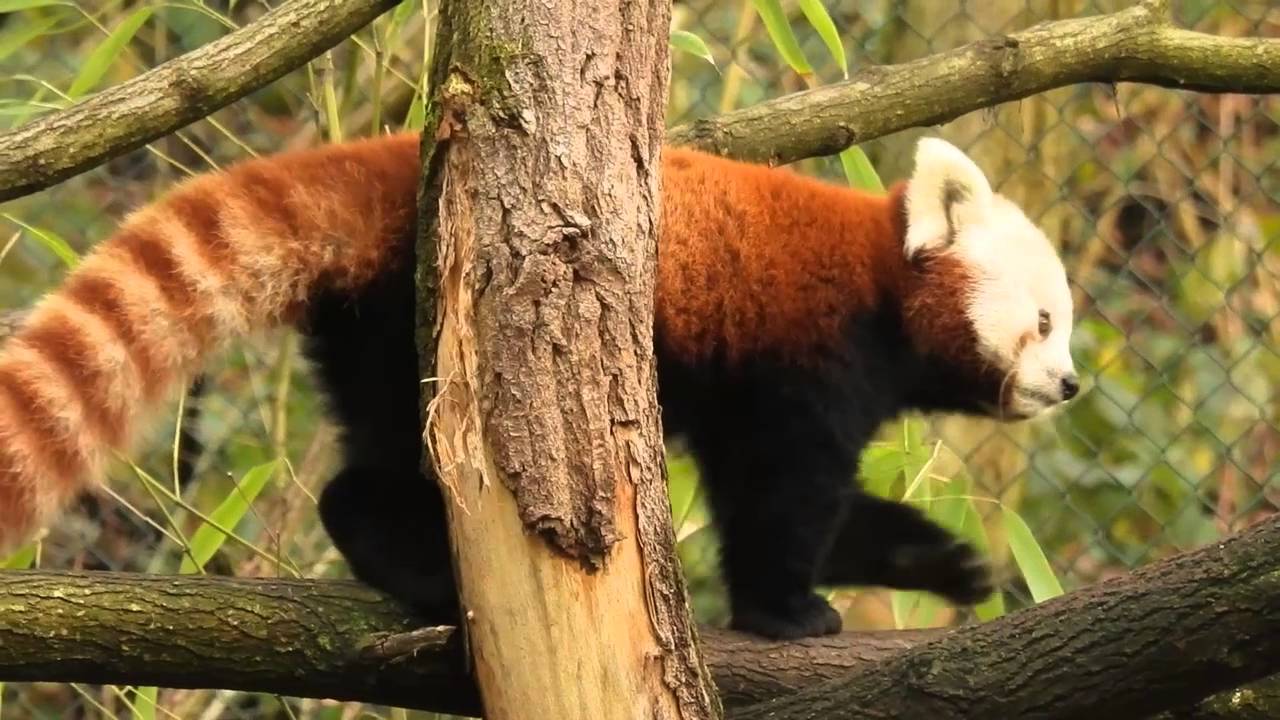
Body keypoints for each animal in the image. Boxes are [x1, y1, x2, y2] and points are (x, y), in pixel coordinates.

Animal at [0, 133, 1076, 639]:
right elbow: (780, 497)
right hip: (420, 317)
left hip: (363, 329)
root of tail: (388, 165)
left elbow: (815, 502)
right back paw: (416, 564)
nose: (1066, 385)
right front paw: (785, 611)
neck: (877, 287)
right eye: (1043, 322)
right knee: (396, 462)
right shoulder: (802, 357)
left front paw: (937, 559)